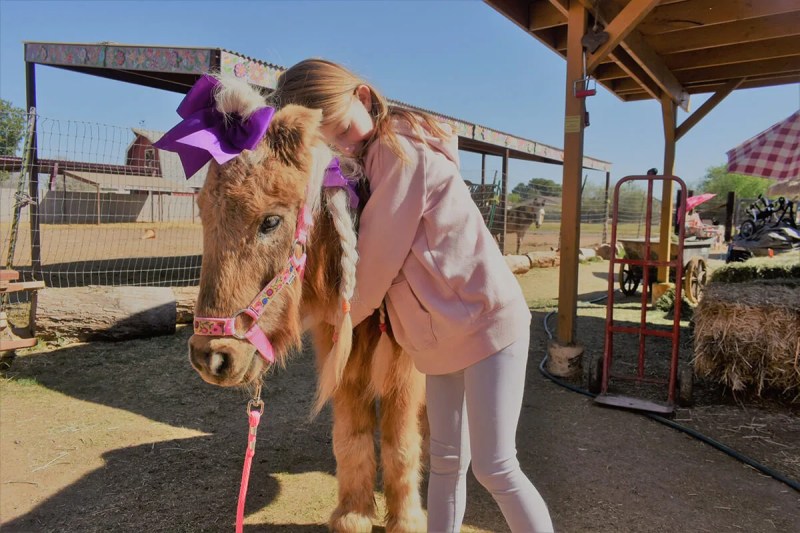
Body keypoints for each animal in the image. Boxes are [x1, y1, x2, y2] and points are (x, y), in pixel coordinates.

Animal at [176, 75, 426, 532]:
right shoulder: (343, 363)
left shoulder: (405, 372)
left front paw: (406, 520)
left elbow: (400, 443)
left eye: (271, 221)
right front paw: (354, 516)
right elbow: (351, 439)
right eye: (203, 213)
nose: (210, 358)